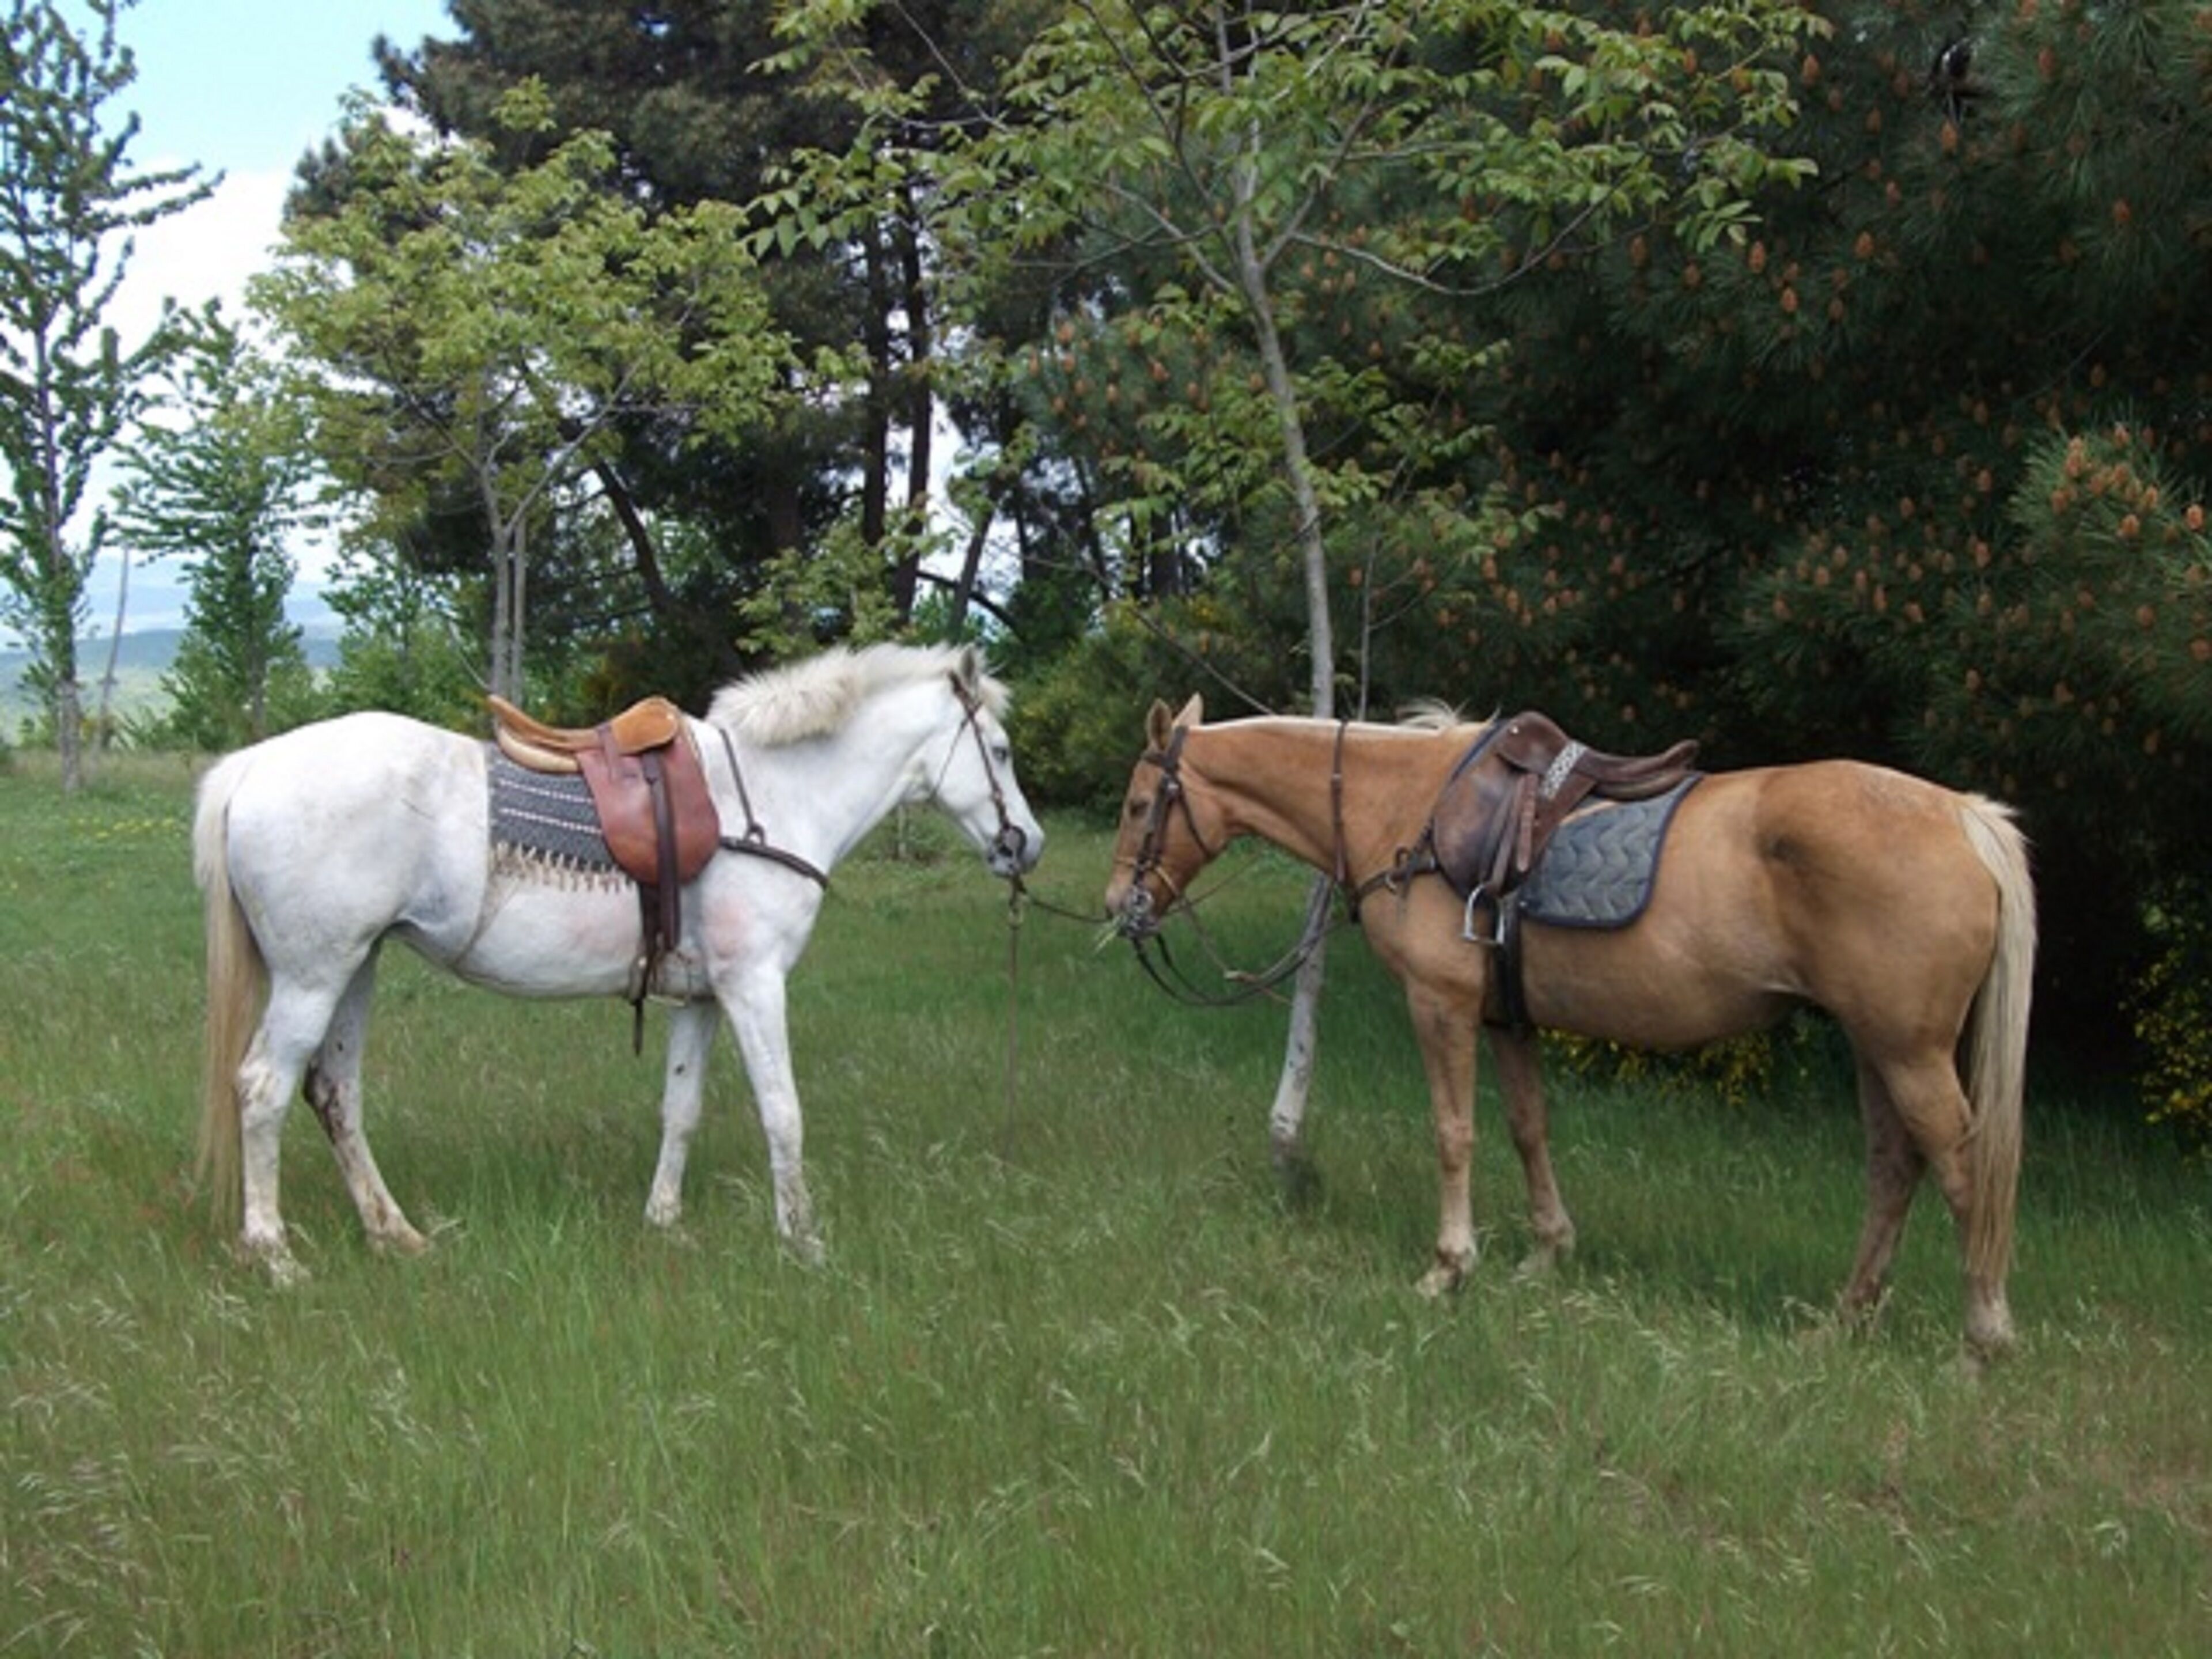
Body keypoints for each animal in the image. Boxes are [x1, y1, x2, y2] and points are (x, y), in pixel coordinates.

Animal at [195, 642, 1043, 1281]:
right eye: (1000, 751)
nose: (1026, 844)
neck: (773, 797)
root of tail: (251, 768)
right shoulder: (754, 985)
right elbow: (783, 1111)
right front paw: (803, 1243)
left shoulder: (703, 997)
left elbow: (682, 1108)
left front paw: (664, 1222)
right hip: (314, 976)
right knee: (265, 1089)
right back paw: (275, 1257)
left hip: (355, 967)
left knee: (335, 1092)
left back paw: (394, 1234)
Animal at [1103, 696, 2034, 1361]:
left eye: (1143, 803)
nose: (1121, 906)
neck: (1406, 805)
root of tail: (1965, 816)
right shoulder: (1505, 1017)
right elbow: (1527, 1127)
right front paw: (1547, 1253)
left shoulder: (1441, 1006)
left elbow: (1454, 1133)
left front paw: (1449, 1268)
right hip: (1875, 1048)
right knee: (1894, 1168)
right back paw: (1845, 1319)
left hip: (1907, 1053)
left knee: (1961, 1171)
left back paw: (1981, 1340)